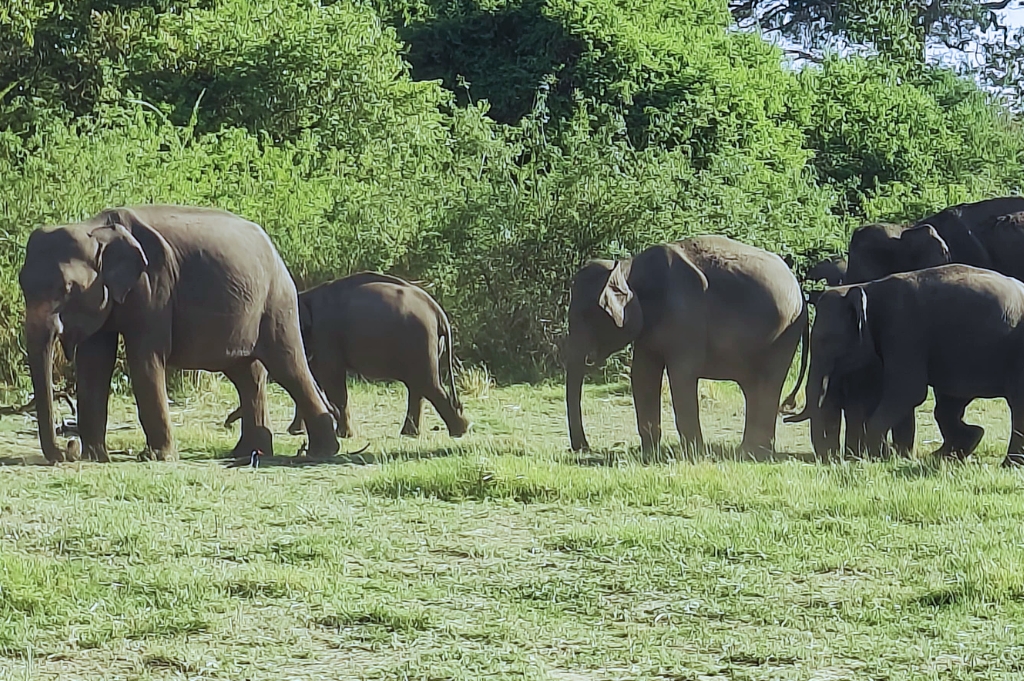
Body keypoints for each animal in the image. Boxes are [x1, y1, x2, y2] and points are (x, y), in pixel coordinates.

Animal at [18, 205, 339, 464]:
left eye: (67, 289)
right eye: (22, 284)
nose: (68, 449)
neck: (96, 228)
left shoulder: (155, 287)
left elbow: (144, 358)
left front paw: (155, 457)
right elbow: (93, 362)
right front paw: (94, 457)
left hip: (277, 301)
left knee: (288, 366)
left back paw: (321, 452)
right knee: (247, 375)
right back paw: (247, 452)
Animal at [226, 272, 468, 439]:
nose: (228, 422)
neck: (305, 297)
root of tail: (438, 311)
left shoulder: (326, 336)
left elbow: (331, 378)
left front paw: (343, 435)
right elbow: (314, 378)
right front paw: (297, 431)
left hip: (421, 340)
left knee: (427, 383)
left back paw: (460, 430)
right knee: (417, 386)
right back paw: (412, 433)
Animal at [565, 235, 807, 455]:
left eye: (587, 315)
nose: (584, 448)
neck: (629, 267)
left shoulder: (686, 314)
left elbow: (681, 373)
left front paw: (693, 453)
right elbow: (643, 375)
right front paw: (649, 453)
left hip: (784, 334)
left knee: (768, 383)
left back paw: (754, 452)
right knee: (753, 387)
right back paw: (748, 450)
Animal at [786, 264, 1024, 465]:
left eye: (826, 341)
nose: (788, 408)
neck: (868, 288)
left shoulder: (903, 330)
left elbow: (908, 391)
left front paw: (878, 456)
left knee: (1016, 403)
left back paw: (1008, 464)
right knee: (948, 406)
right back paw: (951, 450)